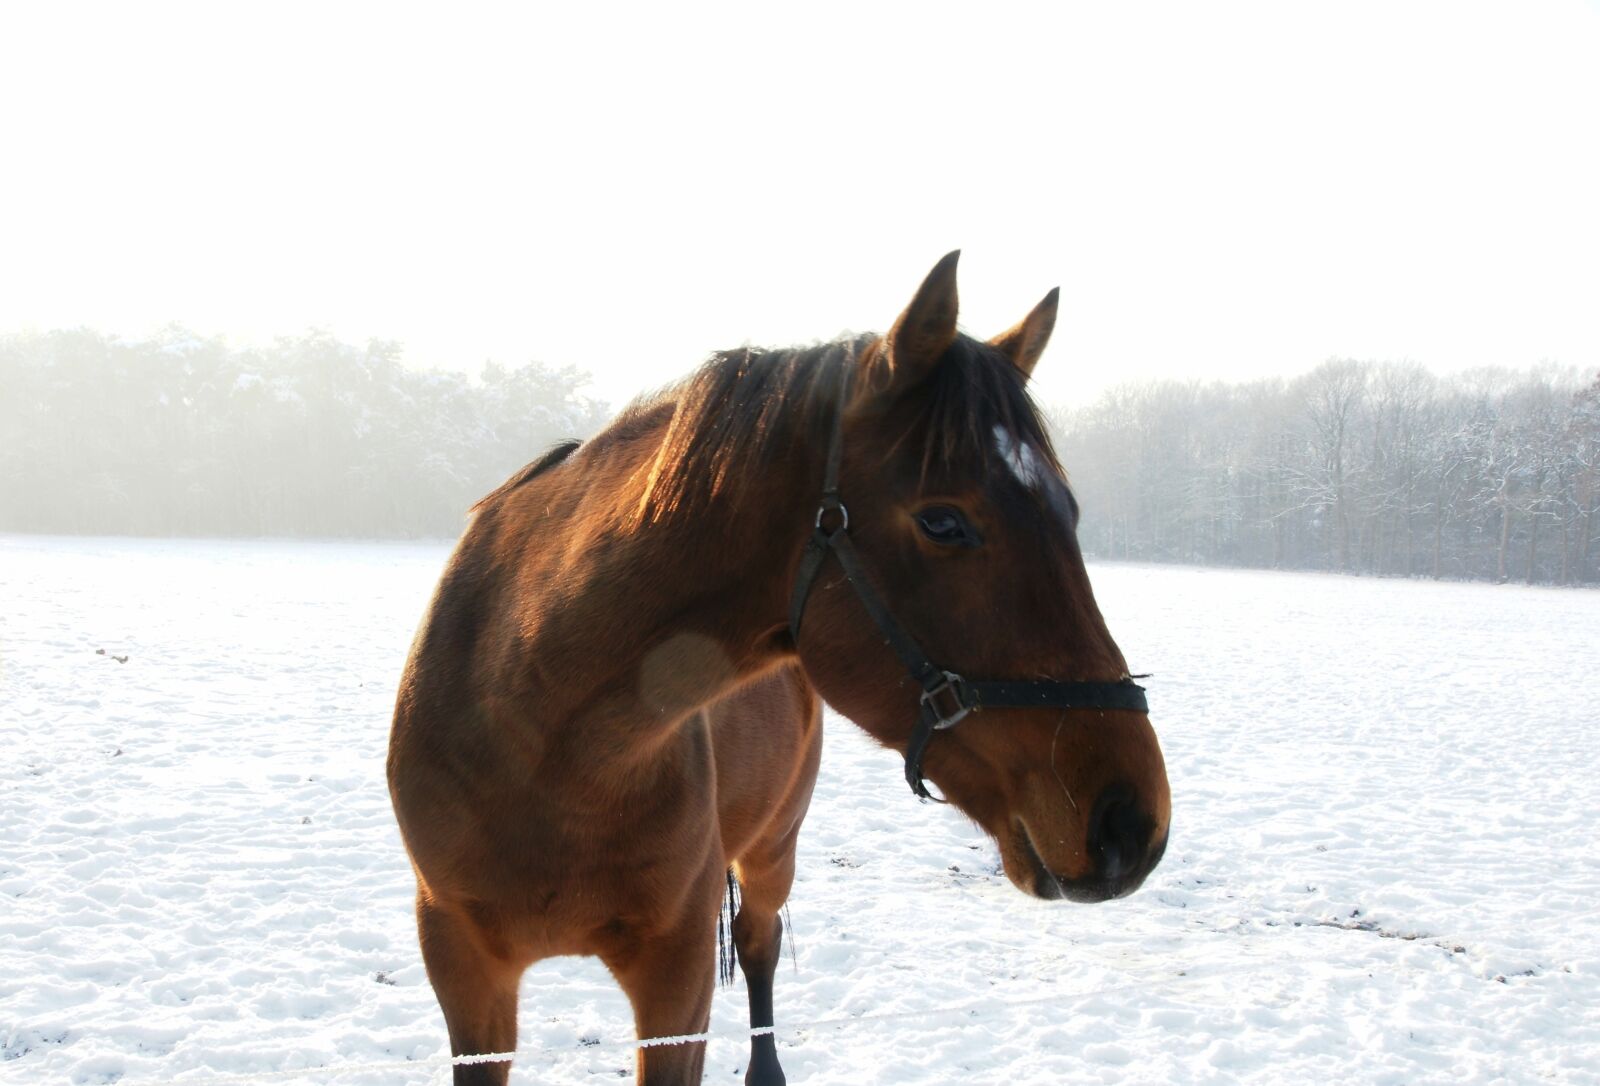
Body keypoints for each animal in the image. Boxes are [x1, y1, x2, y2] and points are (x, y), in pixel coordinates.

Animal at [387, 252, 1171, 1085]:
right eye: (943, 521)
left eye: (1069, 513)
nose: (1131, 820)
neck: (535, 735)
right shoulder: (464, 970)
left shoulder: (678, 977)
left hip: (773, 851)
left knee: (760, 947)